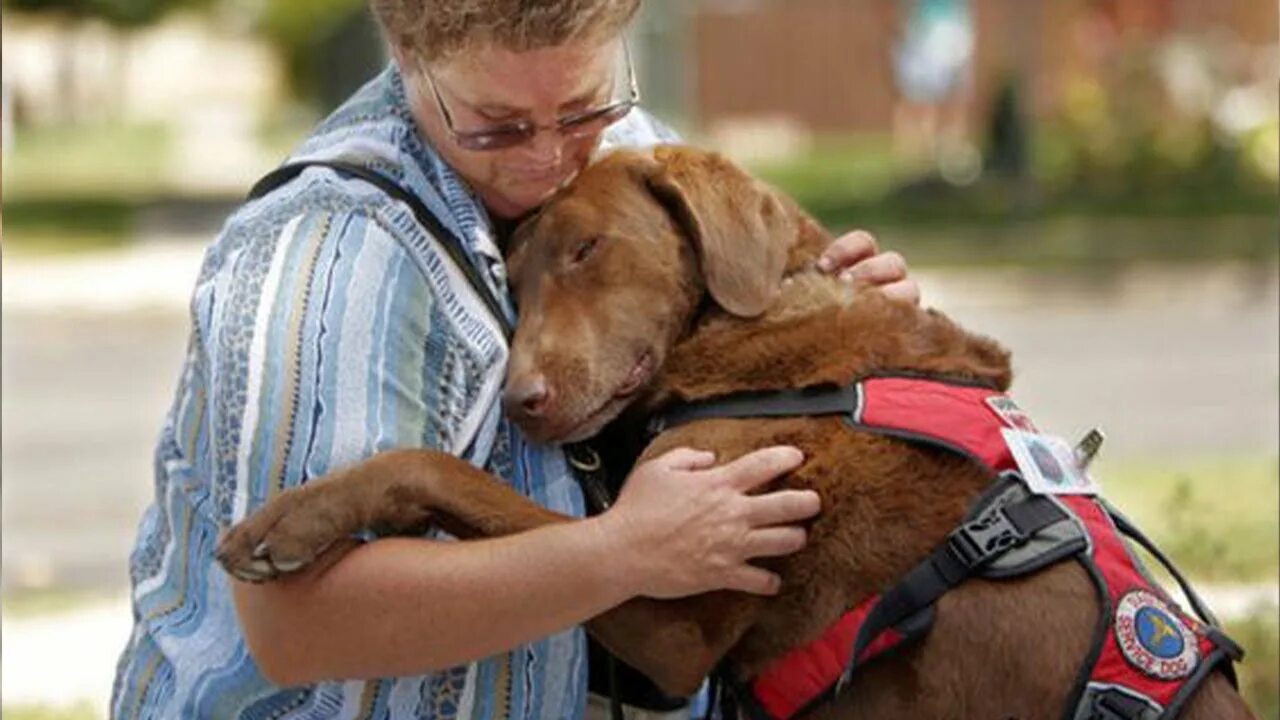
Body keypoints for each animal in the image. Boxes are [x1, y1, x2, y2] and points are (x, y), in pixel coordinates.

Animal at [217, 142, 1249, 712]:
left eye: (587, 250)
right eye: (513, 276)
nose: (520, 400)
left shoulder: (676, 623)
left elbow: (441, 469)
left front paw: (287, 521)